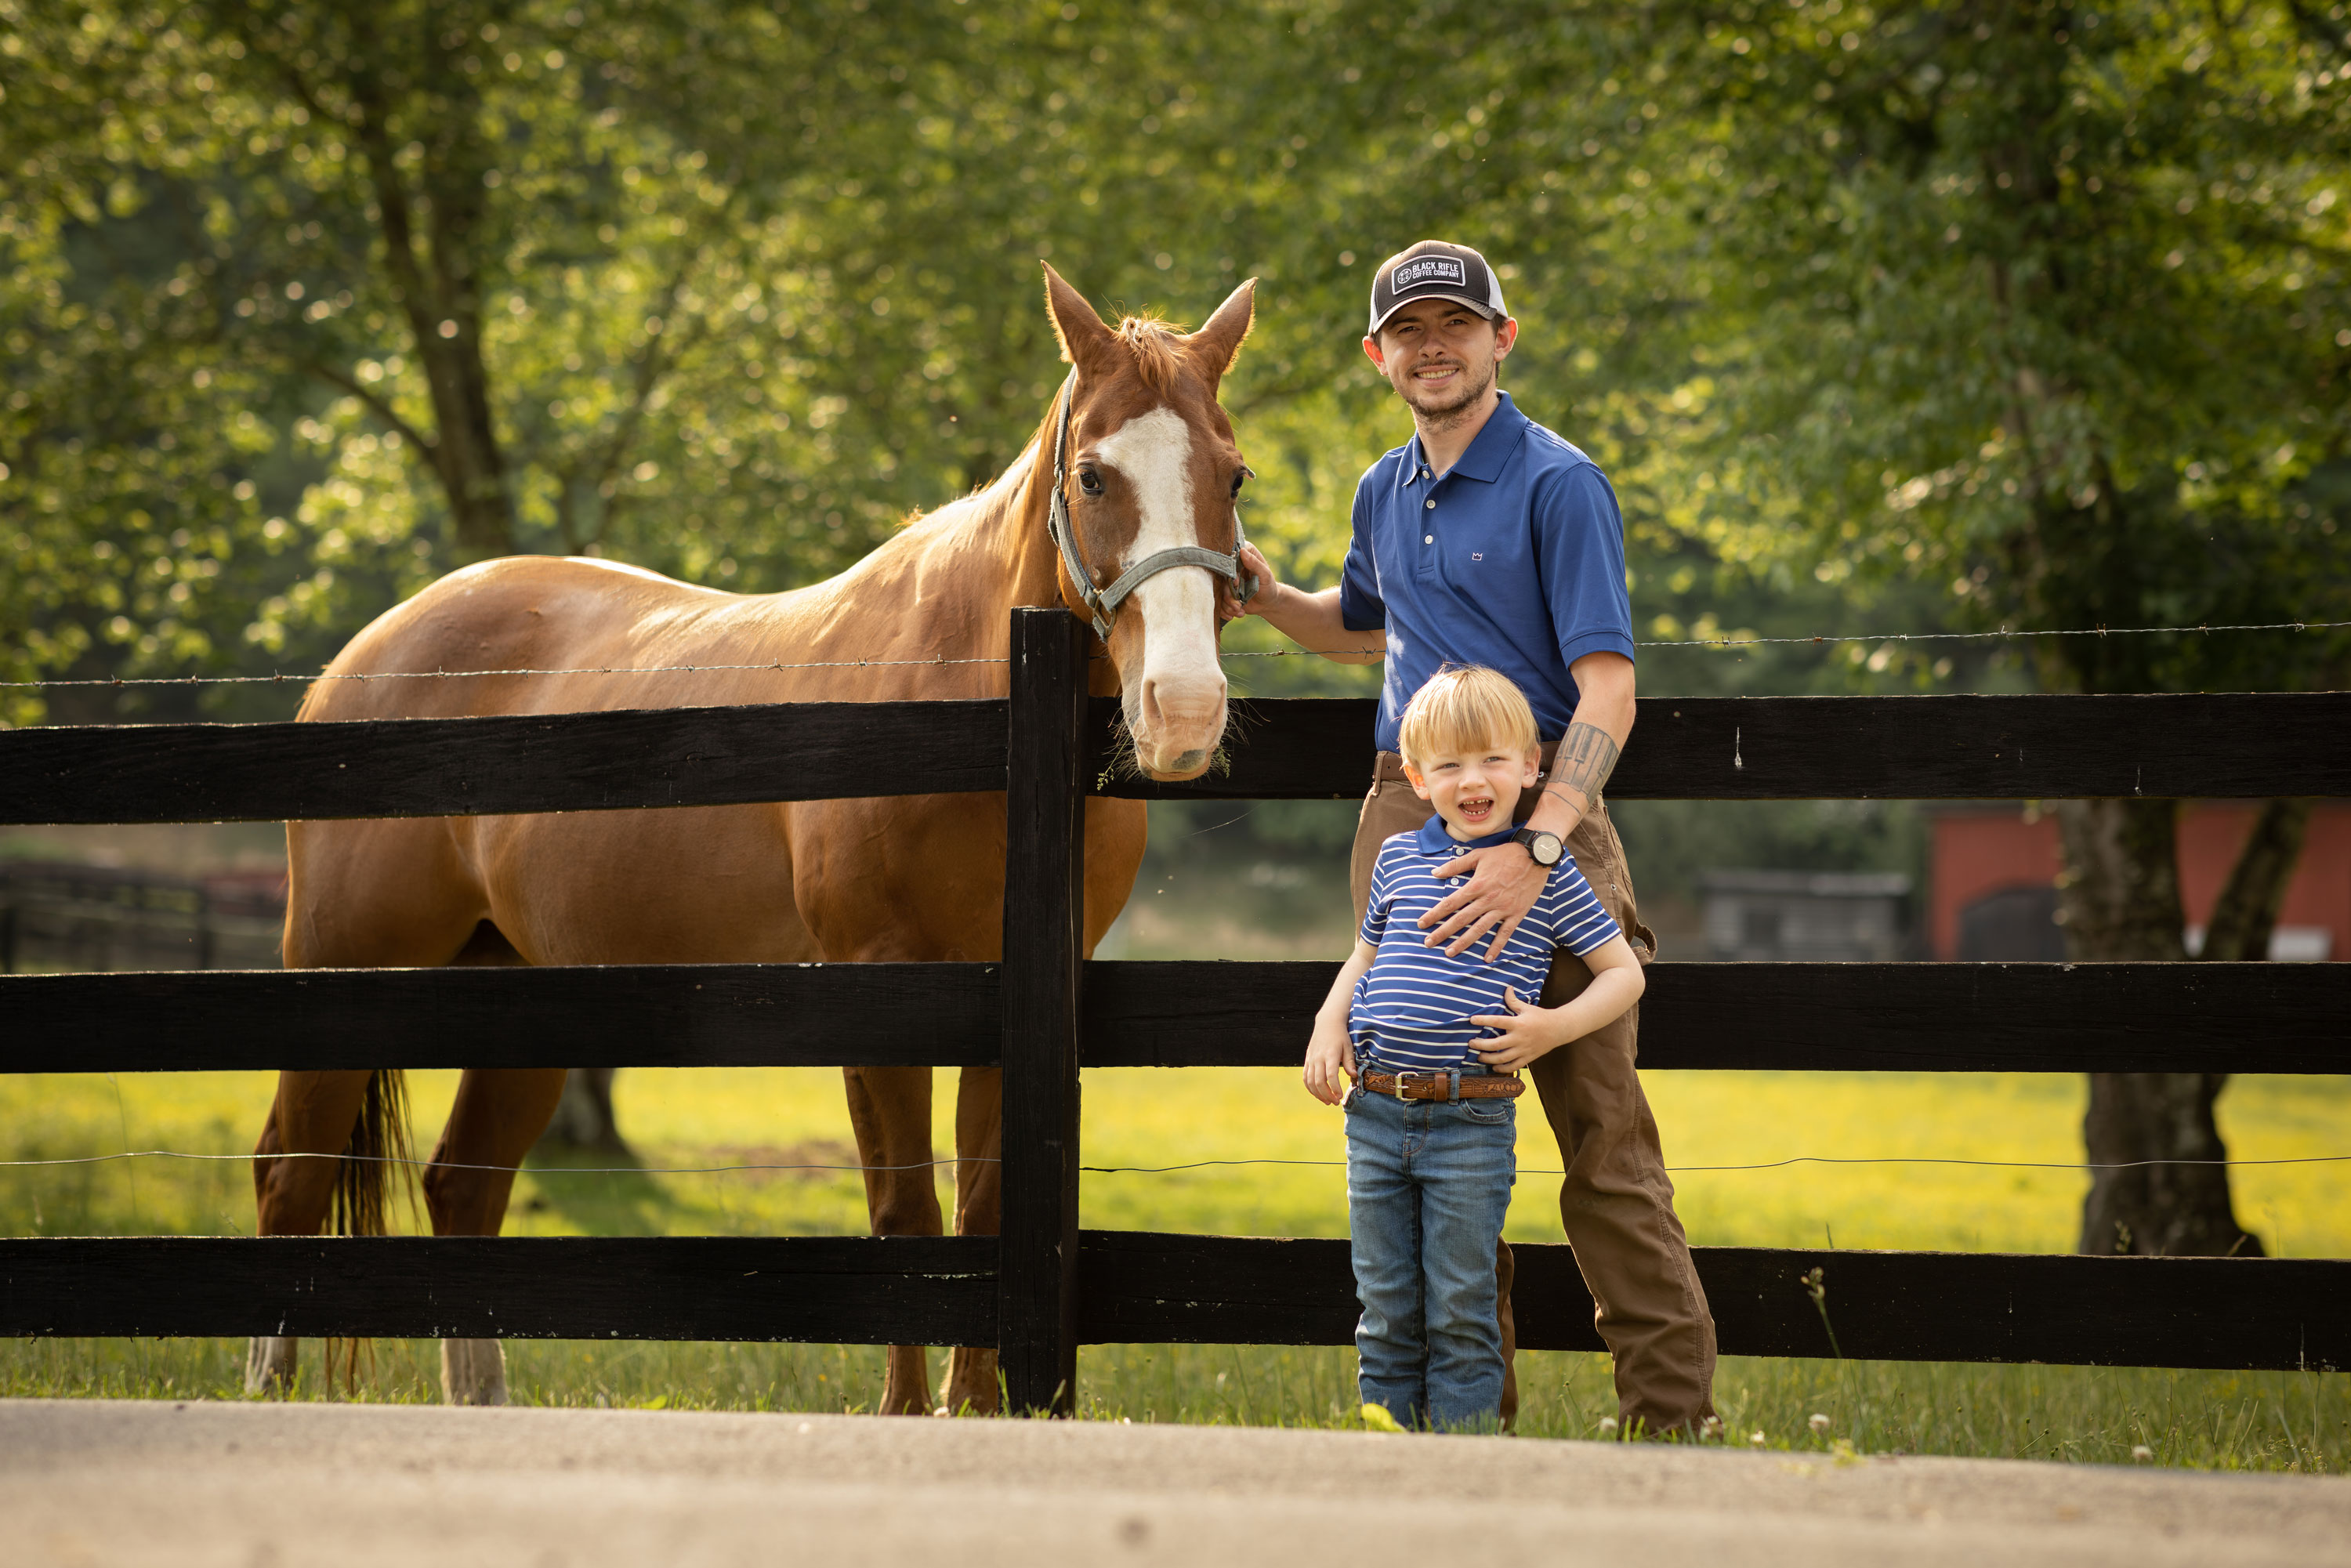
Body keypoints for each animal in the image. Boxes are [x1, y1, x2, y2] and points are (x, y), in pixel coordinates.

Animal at [248, 263, 1260, 1420]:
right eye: (1094, 475)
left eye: (1232, 475)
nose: (1184, 709)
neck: (976, 707)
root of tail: (367, 655)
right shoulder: (879, 992)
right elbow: (905, 1218)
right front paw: (909, 1414)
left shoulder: (1011, 1008)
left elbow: (981, 1209)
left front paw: (971, 1409)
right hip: (343, 971)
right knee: (292, 1171)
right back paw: (269, 1390)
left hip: (523, 992)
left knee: (463, 1184)